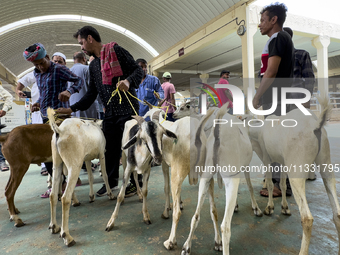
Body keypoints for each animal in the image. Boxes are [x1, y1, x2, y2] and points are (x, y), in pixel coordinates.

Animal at [46, 108, 114, 247]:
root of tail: (60, 131)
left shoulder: (87, 158)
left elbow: (90, 177)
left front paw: (91, 196)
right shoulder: (101, 154)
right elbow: (105, 174)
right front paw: (110, 194)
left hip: (57, 164)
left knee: (53, 195)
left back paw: (54, 226)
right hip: (74, 165)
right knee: (65, 198)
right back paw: (67, 236)